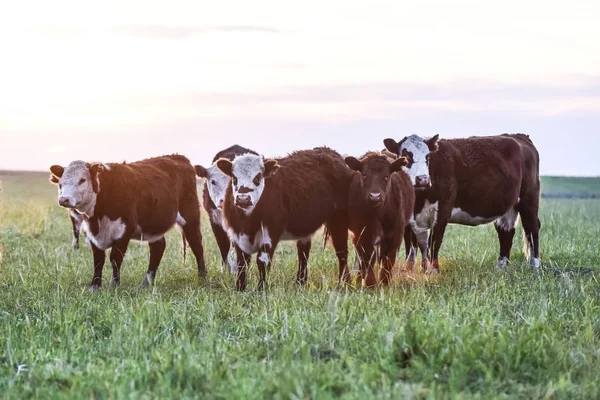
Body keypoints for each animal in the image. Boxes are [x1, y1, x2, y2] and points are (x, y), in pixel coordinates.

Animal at [48, 155, 206, 290]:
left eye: (82, 180)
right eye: (60, 183)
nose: (64, 199)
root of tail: (179, 157)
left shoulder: (123, 231)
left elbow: (115, 259)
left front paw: (114, 285)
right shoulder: (93, 233)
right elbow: (98, 260)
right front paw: (95, 286)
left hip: (190, 216)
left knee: (197, 244)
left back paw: (202, 277)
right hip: (154, 225)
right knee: (158, 248)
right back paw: (146, 282)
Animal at [193, 145, 256, 276]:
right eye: (213, 181)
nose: (223, 200)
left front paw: (240, 269)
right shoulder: (214, 220)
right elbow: (223, 245)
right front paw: (226, 270)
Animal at [216, 147, 352, 290]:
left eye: (258, 177)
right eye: (234, 177)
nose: (243, 199)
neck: (247, 222)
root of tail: (328, 151)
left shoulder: (270, 232)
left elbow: (262, 261)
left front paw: (261, 289)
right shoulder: (237, 234)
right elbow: (241, 262)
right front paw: (240, 288)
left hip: (338, 219)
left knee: (342, 251)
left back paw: (344, 282)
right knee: (303, 253)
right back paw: (300, 282)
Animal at [344, 153, 414, 288]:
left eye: (386, 176)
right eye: (364, 175)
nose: (375, 196)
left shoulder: (394, 234)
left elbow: (387, 259)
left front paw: (384, 283)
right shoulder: (360, 234)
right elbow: (368, 258)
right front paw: (370, 284)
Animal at [384, 134, 544, 272]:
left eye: (428, 156)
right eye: (405, 155)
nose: (422, 179)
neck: (419, 199)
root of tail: (519, 136)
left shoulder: (442, 212)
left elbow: (433, 243)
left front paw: (432, 272)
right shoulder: (410, 218)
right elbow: (412, 246)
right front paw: (412, 270)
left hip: (529, 199)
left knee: (532, 228)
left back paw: (535, 266)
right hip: (508, 206)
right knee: (506, 232)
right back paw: (500, 267)